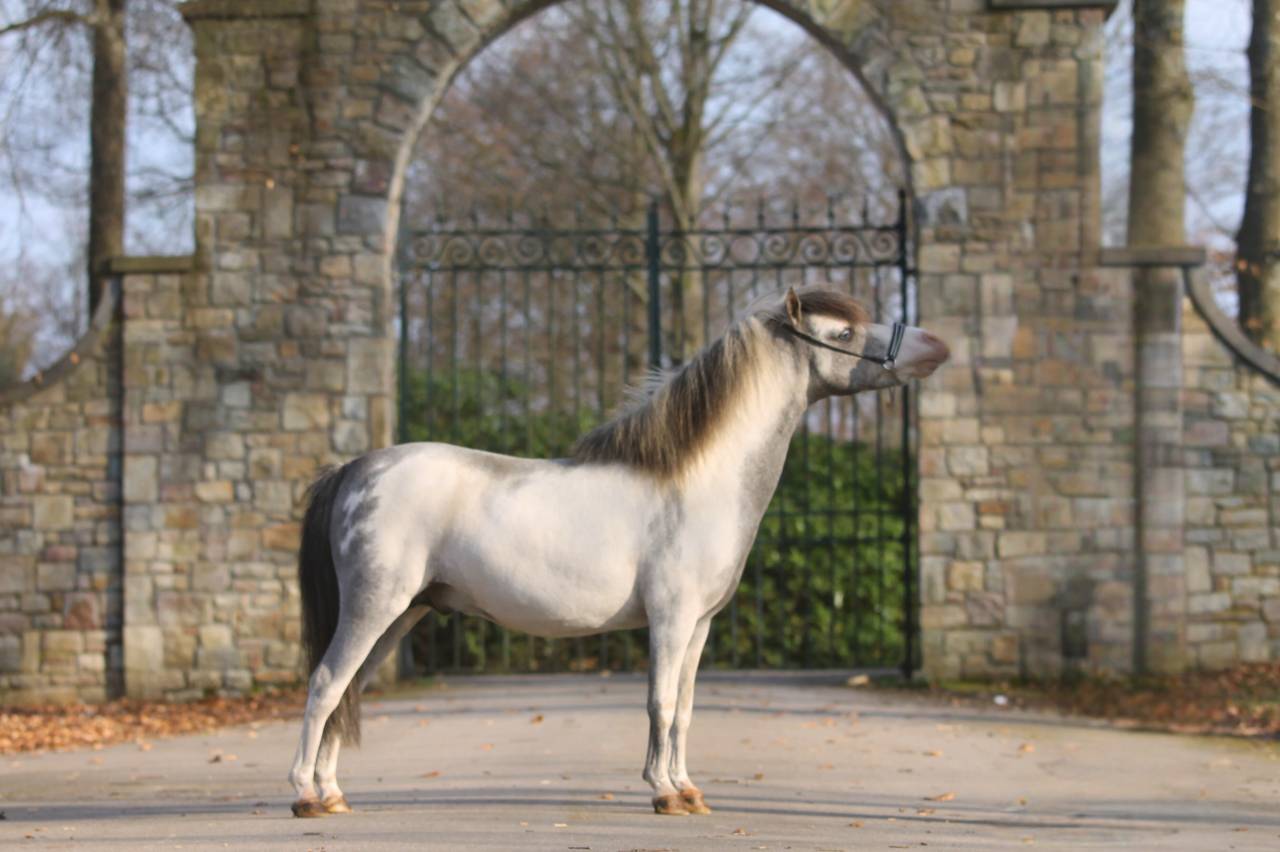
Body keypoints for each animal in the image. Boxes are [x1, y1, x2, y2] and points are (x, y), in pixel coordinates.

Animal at [287, 285, 950, 818]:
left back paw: (333, 794)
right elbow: (659, 702)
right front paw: (663, 793)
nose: (936, 346)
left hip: (404, 615)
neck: (697, 482)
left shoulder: (699, 626)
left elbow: (684, 708)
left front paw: (688, 790)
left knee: (348, 691)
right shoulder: (670, 619)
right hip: (373, 608)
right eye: (843, 333)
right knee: (325, 684)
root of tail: (354, 470)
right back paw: (305, 796)